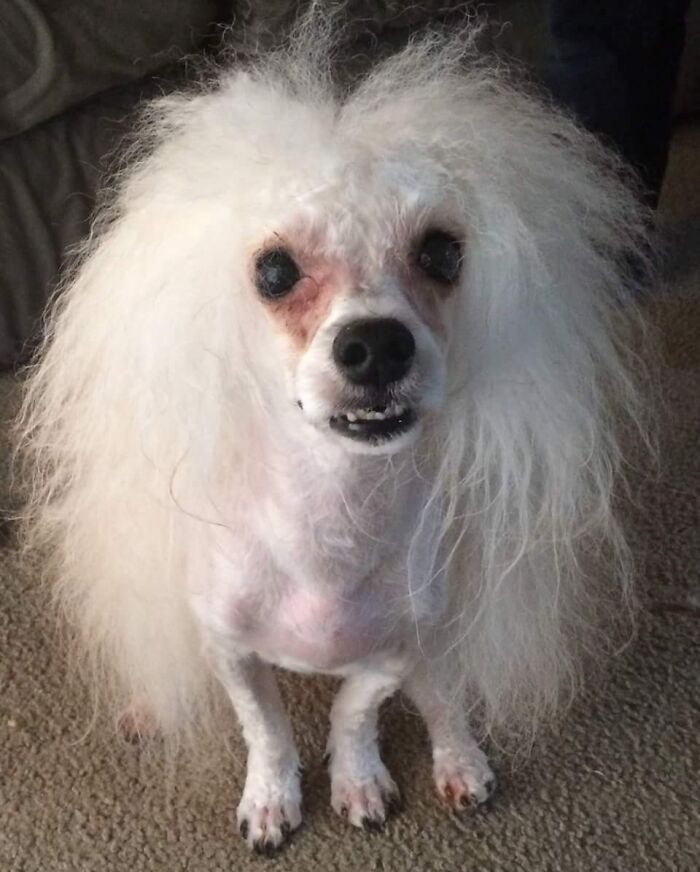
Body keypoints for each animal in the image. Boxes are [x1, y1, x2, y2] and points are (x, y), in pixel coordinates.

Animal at [16, 17, 652, 856]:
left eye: (443, 252)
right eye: (274, 271)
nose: (376, 346)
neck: (331, 524)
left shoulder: (391, 653)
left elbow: (354, 713)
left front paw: (357, 780)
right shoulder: (230, 650)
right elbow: (268, 730)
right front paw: (271, 800)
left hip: (436, 637)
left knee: (445, 697)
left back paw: (461, 761)